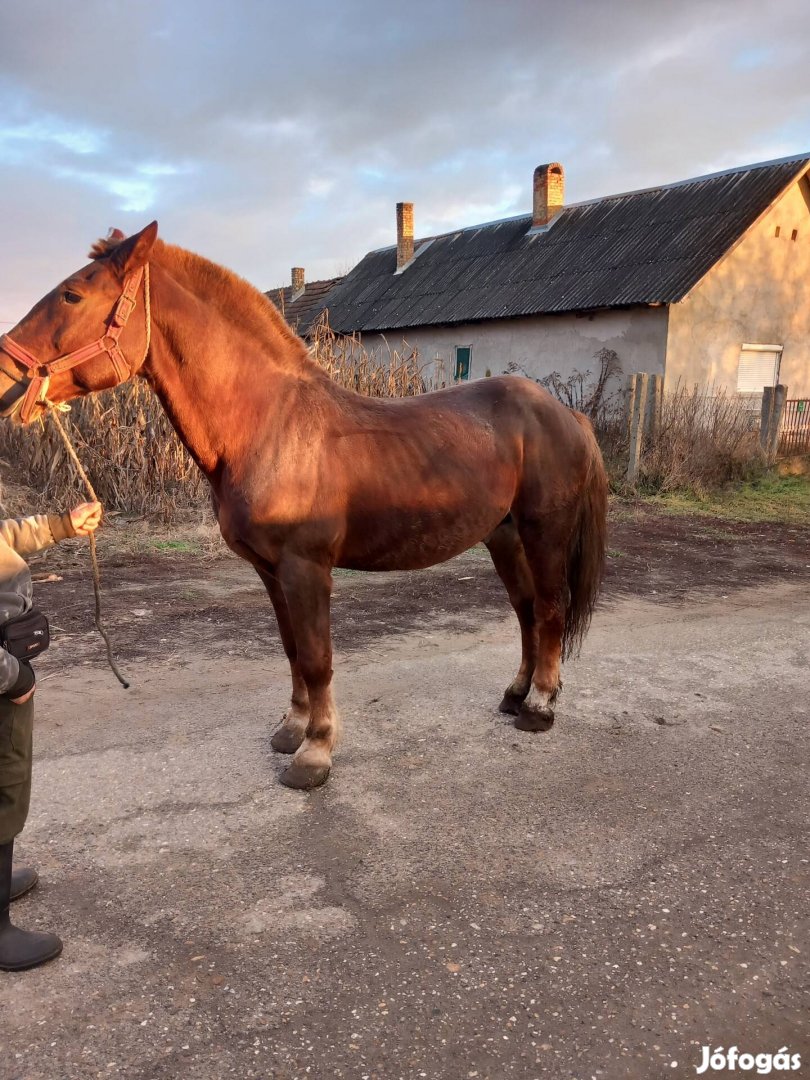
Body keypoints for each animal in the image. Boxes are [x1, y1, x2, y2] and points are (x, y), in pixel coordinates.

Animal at [0, 223, 609, 790]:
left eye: (73, 294)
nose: (7, 376)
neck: (268, 426)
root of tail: (564, 413)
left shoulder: (305, 568)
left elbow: (318, 659)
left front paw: (314, 754)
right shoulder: (271, 572)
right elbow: (293, 650)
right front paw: (291, 731)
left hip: (544, 532)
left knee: (550, 609)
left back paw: (539, 706)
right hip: (502, 535)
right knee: (526, 610)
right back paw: (515, 694)